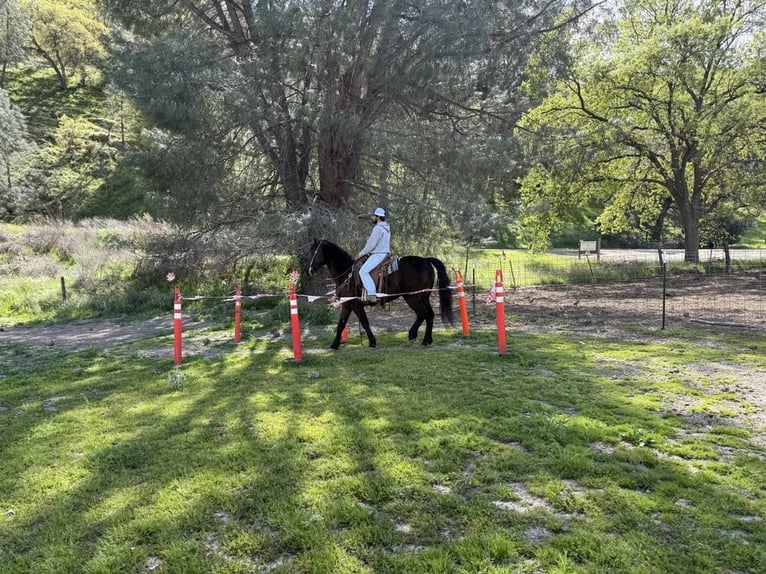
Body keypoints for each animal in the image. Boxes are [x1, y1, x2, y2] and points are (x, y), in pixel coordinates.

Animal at [307, 238, 454, 349]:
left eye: (314, 252)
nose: (309, 270)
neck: (347, 274)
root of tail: (426, 260)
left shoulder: (355, 305)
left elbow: (364, 322)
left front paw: (372, 342)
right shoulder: (348, 305)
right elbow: (341, 324)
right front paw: (335, 344)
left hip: (413, 298)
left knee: (423, 314)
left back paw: (416, 336)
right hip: (423, 297)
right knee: (429, 315)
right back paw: (426, 339)